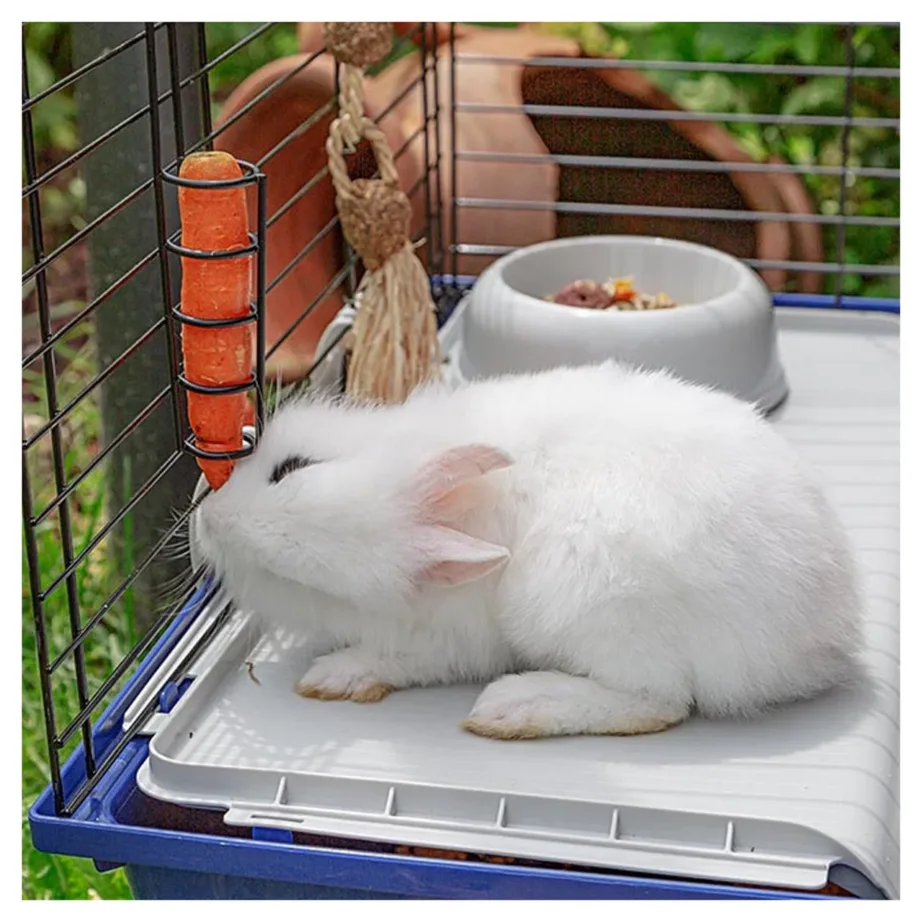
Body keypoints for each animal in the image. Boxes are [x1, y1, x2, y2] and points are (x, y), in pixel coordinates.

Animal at [192, 361, 864, 740]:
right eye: (296, 582)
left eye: (292, 469)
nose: (205, 521)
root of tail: (823, 640)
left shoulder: (451, 639)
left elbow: (398, 659)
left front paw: (333, 676)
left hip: (588, 604)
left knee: (659, 702)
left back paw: (514, 708)